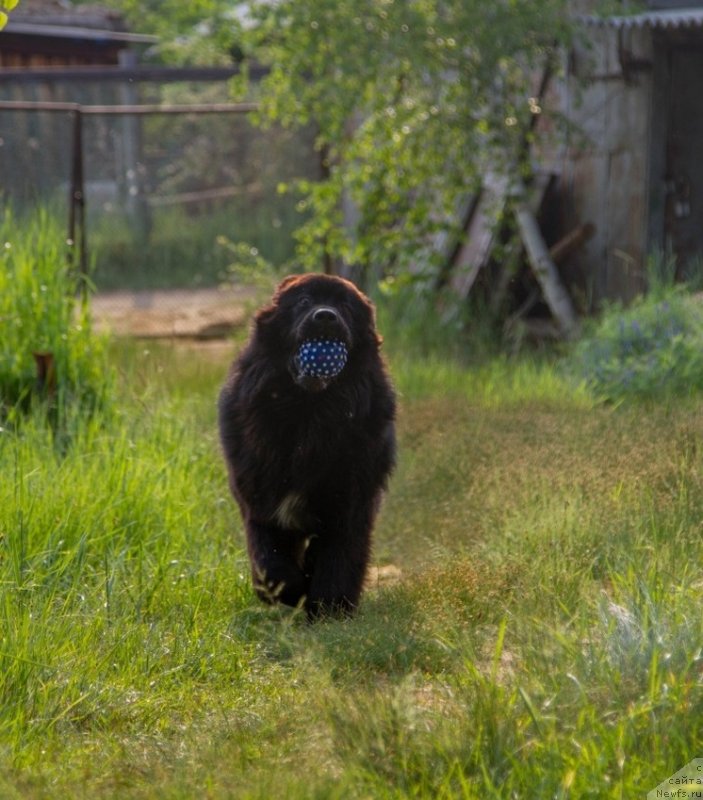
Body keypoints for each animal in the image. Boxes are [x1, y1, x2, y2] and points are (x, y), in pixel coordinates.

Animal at [219, 274, 396, 620]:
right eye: (304, 301)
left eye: (345, 306)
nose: (325, 316)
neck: (308, 412)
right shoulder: (259, 500)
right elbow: (268, 558)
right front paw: (290, 590)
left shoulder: (350, 502)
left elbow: (340, 555)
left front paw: (331, 610)